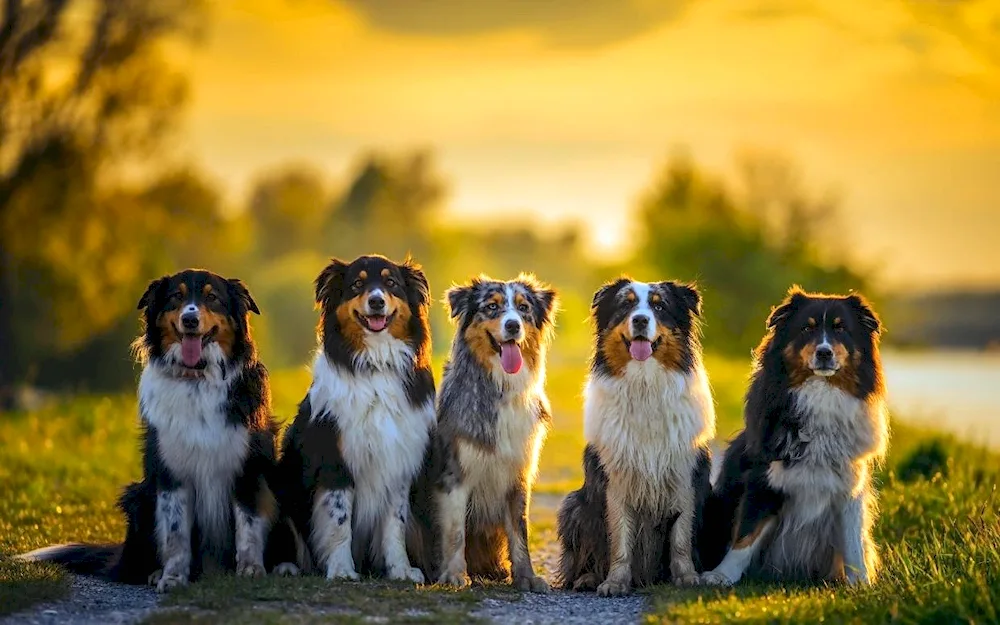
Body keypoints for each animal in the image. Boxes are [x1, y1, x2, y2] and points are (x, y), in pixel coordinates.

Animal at [19, 268, 290, 588]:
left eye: (212, 297)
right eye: (176, 297)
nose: (190, 319)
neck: (196, 380)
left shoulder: (248, 468)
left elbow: (248, 526)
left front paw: (250, 570)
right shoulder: (170, 472)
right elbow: (175, 533)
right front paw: (172, 577)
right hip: (139, 497)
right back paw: (154, 572)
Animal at [276, 252, 432, 580]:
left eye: (391, 283)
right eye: (357, 285)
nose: (376, 301)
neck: (375, 365)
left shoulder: (398, 460)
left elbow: (395, 525)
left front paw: (401, 570)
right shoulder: (335, 459)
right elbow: (338, 521)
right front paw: (341, 569)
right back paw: (287, 566)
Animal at [406, 272, 560, 588]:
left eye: (523, 308)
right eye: (492, 307)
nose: (513, 325)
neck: (500, 387)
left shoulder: (518, 475)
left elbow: (519, 532)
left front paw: (526, 577)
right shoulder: (454, 476)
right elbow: (455, 532)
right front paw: (454, 575)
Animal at [556, 278, 720, 596]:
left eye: (660, 306)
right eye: (626, 304)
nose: (641, 320)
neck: (645, 384)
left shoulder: (685, 476)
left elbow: (681, 537)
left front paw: (686, 577)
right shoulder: (615, 480)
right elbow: (619, 538)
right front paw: (615, 582)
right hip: (574, 505)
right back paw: (587, 578)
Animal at [700, 286, 888, 588]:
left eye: (840, 329)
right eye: (806, 328)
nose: (824, 353)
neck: (821, 393)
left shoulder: (848, 486)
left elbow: (853, 541)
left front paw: (859, 583)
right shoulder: (763, 479)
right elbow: (746, 534)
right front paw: (722, 575)